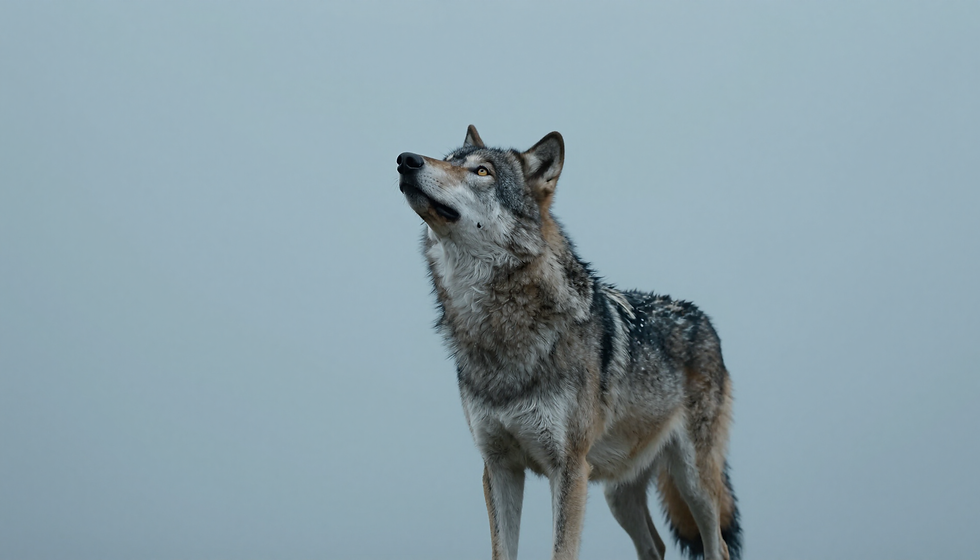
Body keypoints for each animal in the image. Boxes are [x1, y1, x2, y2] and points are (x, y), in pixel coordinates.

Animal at [397, 126, 741, 560]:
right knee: (656, 547)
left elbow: (562, 550)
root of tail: (702, 317)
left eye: (481, 171)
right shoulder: (499, 467)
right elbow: (502, 551)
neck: (501, 329)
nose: (406, 160)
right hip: (617, 491)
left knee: (718, 546)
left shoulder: (569, 469)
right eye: (448, 159)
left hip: (692, 481)